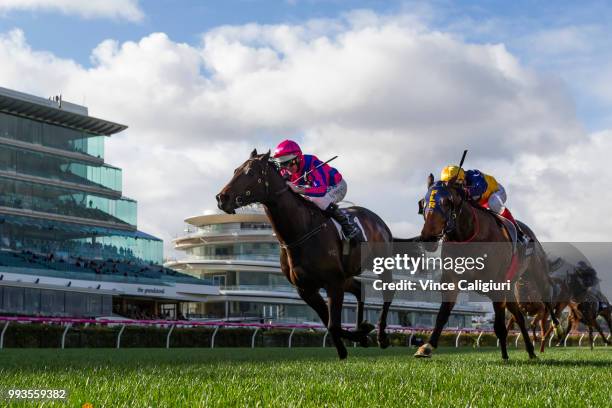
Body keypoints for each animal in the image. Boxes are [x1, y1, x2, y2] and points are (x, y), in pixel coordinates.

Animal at [218, 148, 394, 358]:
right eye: (235, 170)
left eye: (250, 173)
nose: (222, 198)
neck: (300, 231)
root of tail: (378, 221)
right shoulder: (306, 289)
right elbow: (330, 325)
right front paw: (357, 338)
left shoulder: (333, 283)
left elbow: (333, 325)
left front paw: (361, 335)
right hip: (347, 276)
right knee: (359, 290)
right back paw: (363, 328)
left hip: (380, 264)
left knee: (387, 292)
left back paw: (382, 336)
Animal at [414, 175, 560, 360]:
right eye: (422, 203)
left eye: (447, 202)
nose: (428, 238)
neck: (468, 234)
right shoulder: (451, 280)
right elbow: (442, 315)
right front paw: (427, 347)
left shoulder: (496, 284)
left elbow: (499, 326)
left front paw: (505, 356)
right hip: (510, 288)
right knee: (519, 316)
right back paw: (531, 350)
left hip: (537, 272)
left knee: (547, 298)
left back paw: (557, 329)